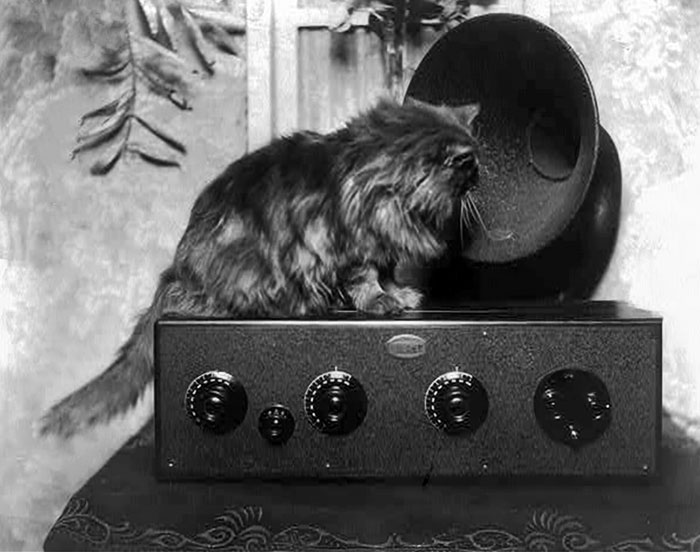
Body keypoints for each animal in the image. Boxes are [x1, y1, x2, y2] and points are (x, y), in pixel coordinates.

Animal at [37, 97, 482, 438]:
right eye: (470, 167)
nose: (479, 178)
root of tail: (175, 274)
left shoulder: (384, 247)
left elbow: (388, 274)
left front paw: (402, 293)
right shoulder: (349, 246)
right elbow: (367, 281)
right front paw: (380, 301)